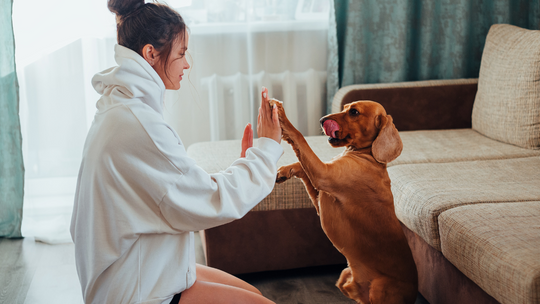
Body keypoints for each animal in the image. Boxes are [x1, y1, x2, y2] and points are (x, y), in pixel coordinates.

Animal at [272, 98, 420, 302]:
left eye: (354, 112)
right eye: (344, 108)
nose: (322, 120)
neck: (368, 155)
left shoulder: (323, 174)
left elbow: (299, 137)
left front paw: (282, 115)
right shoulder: (320, 196)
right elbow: (301, 166)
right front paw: (284, 171)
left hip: (378, 288)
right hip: (345, 277)